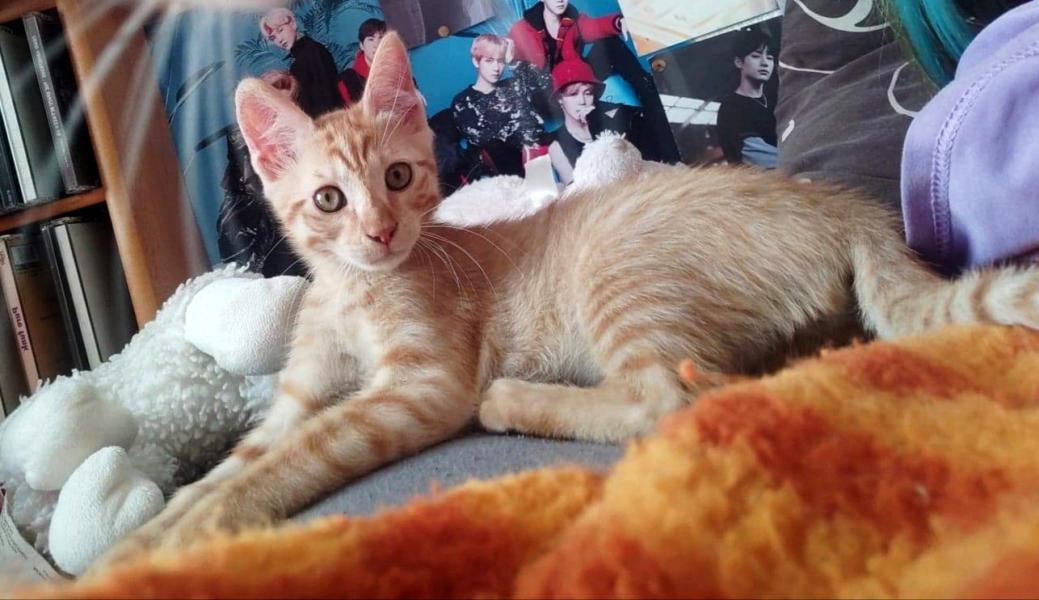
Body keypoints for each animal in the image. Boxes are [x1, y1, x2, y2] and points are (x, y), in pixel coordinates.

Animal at [92, 31, 1039, 569]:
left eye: (397, 178)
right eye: (329, 200)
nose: (380, 234)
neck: (357, 292)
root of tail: (850, 208)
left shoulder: (418, 385)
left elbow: (299, 455)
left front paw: (192, 536)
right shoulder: (293, 397)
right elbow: (243, 456)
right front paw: (144, 535)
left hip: (617, 277)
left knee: (667, 400)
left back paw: (515, 398)